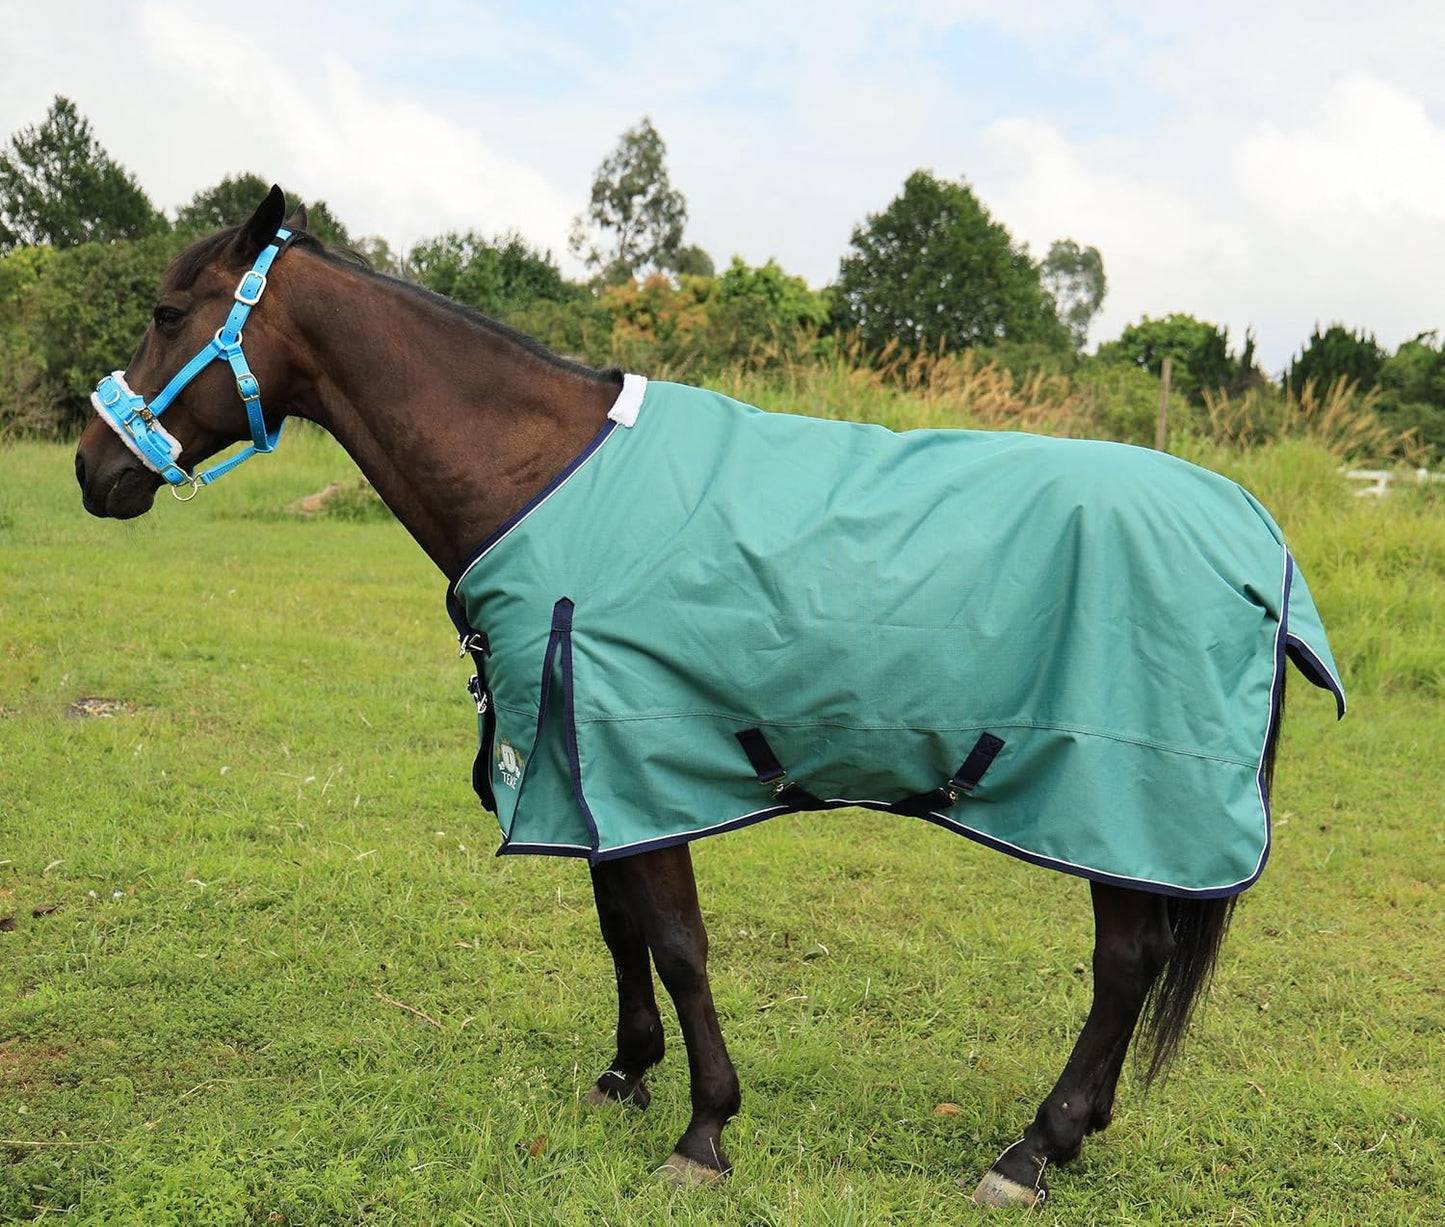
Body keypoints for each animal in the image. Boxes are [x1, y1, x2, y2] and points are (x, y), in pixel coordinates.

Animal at [75, 186, 1344, 1208]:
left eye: (168, 312)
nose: (94, 470)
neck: (542, 474)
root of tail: (1255, 536)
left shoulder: (641, 759)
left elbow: (679, 944)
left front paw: (703, 1132)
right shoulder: (584, 762)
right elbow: (619, 926)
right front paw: (624, 1076)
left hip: (1118, 797)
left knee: (1121, 967)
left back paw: (1031, 1151)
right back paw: (1068, 1138)